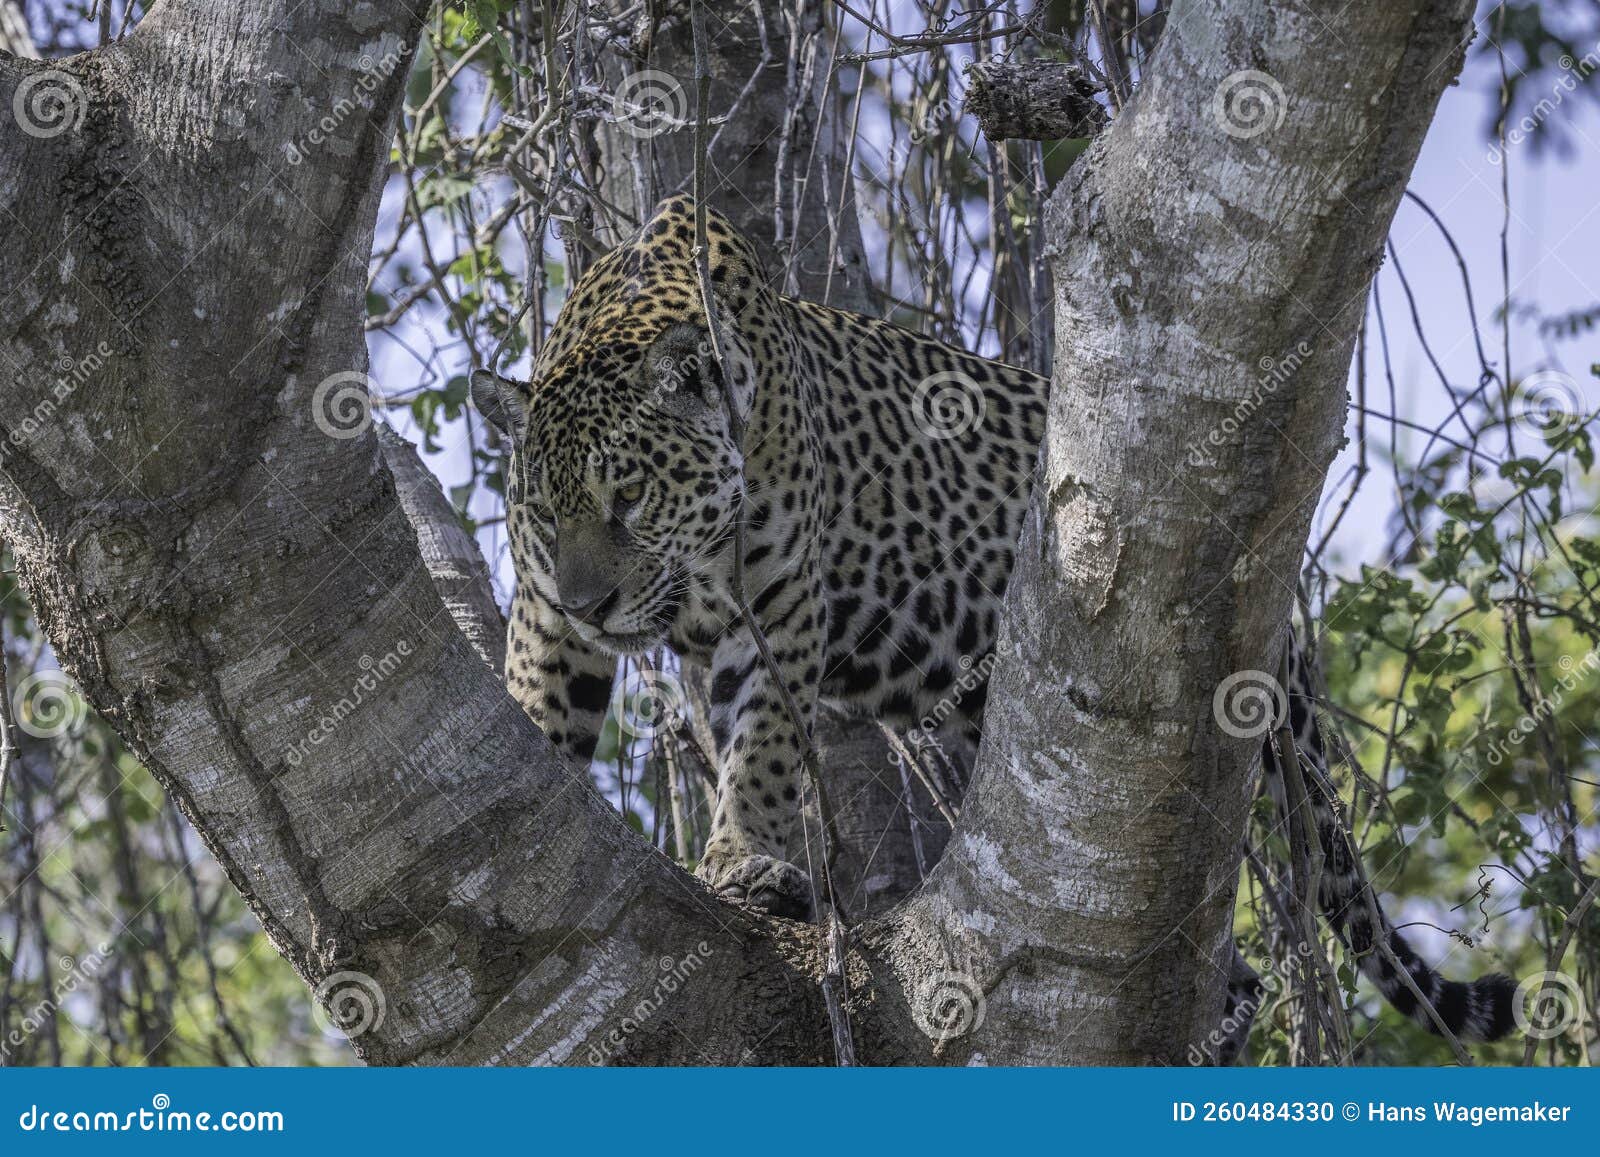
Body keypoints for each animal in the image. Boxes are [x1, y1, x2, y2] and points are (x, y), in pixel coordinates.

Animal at [471, 195, 1515, 1046]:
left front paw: (742, 859)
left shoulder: (780, 609)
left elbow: (761, 743)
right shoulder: (544, 614)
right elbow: (540, 700)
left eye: (629, 498)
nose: (592, 603)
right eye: (545, 514)